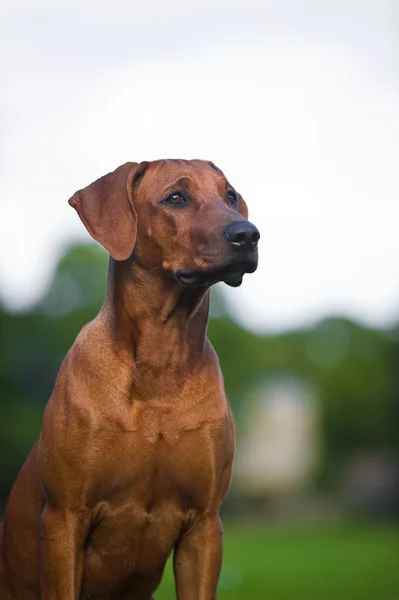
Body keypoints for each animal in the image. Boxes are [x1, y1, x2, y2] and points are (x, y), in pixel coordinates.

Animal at [0, 159, 260, 600]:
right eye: (177, 197)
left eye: (229, 196)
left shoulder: (205, 527)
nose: (248, 234)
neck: (161, 362)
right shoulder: (63, 519)